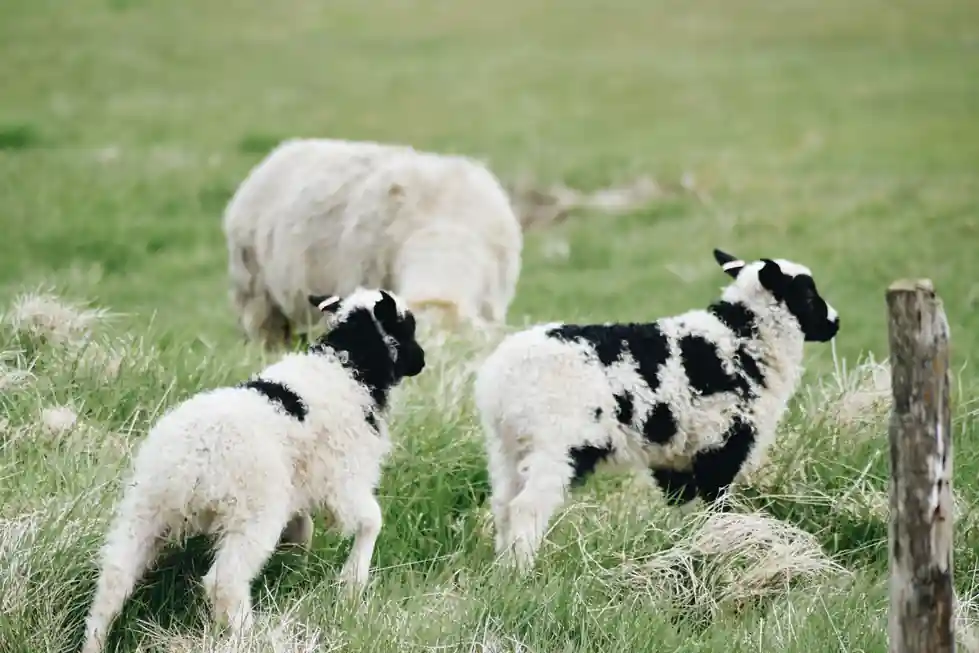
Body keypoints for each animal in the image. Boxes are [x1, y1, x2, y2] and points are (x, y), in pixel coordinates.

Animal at [80, 288, 426, 653]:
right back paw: (250, 635)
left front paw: (296, 568)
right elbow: (372, 521)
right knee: (224, 582)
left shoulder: (302, 487)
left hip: (145, 508)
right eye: (407, 327)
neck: (351, 364)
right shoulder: (344, 480)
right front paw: (353, 582)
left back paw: (94, 642)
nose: (422, 361)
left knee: (114, 577)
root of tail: (192, 459)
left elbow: (304, 529)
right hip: (252, 512)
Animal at [473, 248, 840, 571]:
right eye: (808, 297)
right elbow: (716, 505)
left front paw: (687, 547)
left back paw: (503, 568)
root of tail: (499, 379)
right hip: (555, 442)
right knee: (526, 507)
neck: (745, 340)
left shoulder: (676, 458)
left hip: (506, 447)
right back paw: (521, 571)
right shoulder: (720, 445)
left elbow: (683, 508)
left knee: (502, 504)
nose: (835, 322)